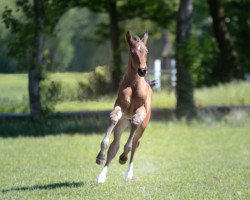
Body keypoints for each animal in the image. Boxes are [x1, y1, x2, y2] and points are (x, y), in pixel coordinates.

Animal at [95, 31, 152, 183]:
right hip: (122, 124)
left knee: (135, 144)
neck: (134, 85)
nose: (142, 70)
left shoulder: (141, 111)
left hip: (143, 126)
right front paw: (100, 156)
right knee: (115, 145)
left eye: (146, 51)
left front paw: (123, 157)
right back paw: (102, 176)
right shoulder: (120, 107)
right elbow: (113, 118)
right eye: (132, 52)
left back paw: (128, 172)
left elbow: (134, 128)